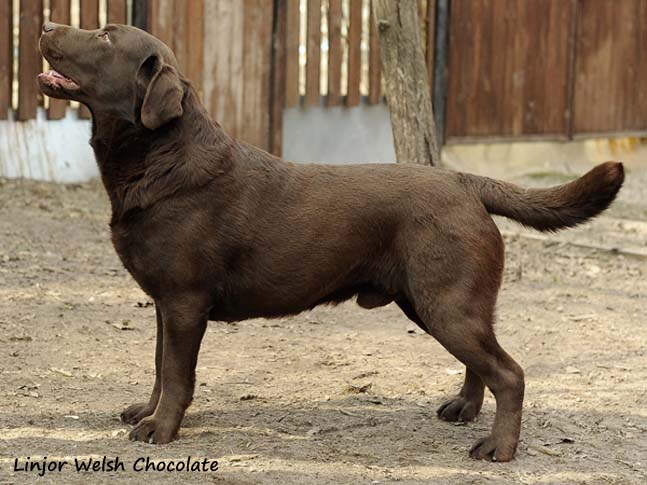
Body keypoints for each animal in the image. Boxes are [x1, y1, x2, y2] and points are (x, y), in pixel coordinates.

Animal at [38, 23, 624, 462]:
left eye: (106, 37)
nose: (45, 25)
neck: (161, 158)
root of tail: (464, 180)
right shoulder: (165, 303)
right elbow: (160, 367)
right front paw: (148, 412)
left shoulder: (184, 301)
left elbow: (178, 372)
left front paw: (161, 430)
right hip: (440, 304)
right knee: (484, 364)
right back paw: (463, 410)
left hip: (447, 304)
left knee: (510, 373)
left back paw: (498, 447)